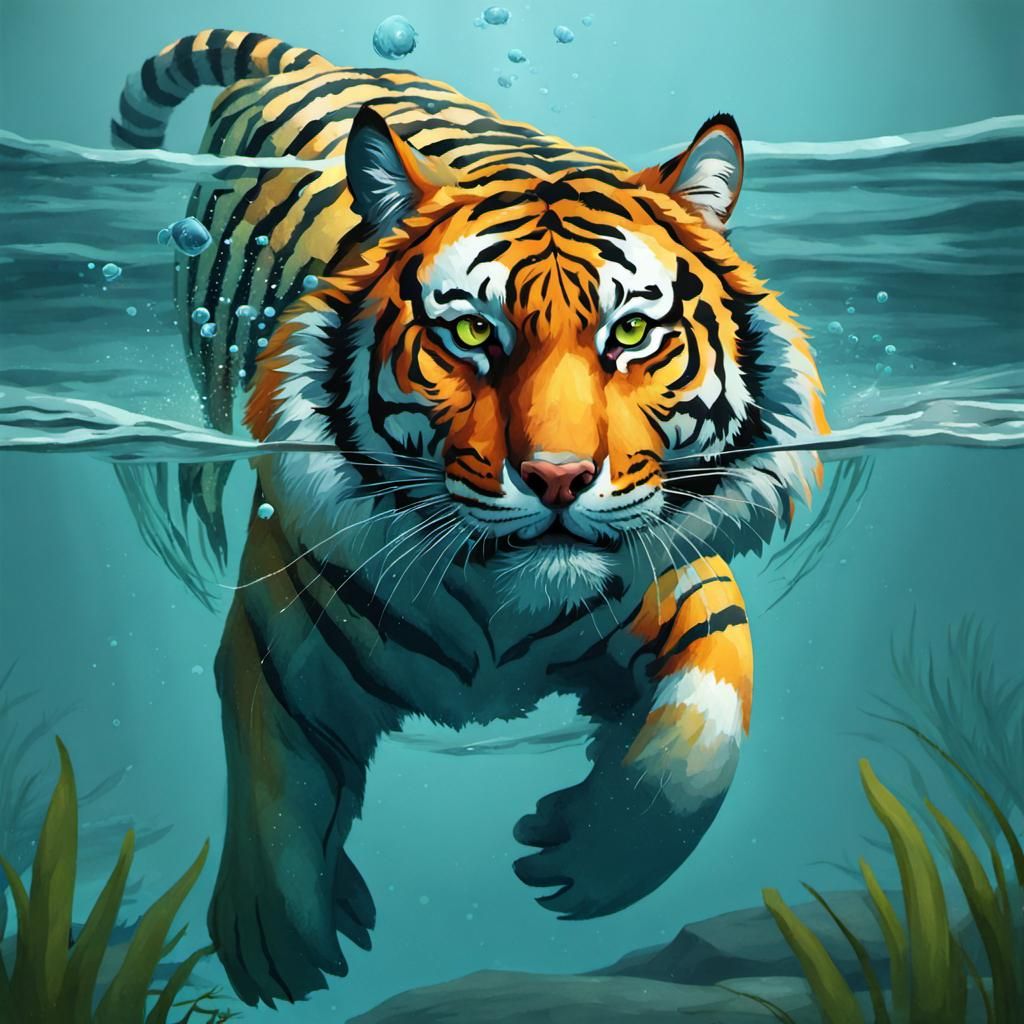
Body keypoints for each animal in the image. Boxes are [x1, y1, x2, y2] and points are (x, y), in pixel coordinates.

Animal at [112, 29, 827, 1007]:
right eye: (474, 334)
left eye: (630, 335)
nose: (558, 478)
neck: (499, 603)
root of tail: (318, 61)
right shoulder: (278, 638)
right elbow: (274, 803)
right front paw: (276, 947)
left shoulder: (688, 584)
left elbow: (694, 752)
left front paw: (577, 861)